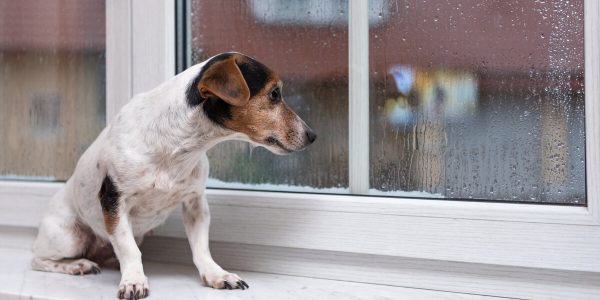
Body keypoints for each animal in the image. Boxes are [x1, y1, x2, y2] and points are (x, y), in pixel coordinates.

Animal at [30, 52, 316, 298]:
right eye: (274, 94)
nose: (313, 135)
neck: (178, 146)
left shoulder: (195, 203)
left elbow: (201, 248)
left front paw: (217, 275)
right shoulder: (114, 201)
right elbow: (128, 249)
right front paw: (133, 281)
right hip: (69, 236)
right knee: (38, 259)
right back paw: (77, 265)